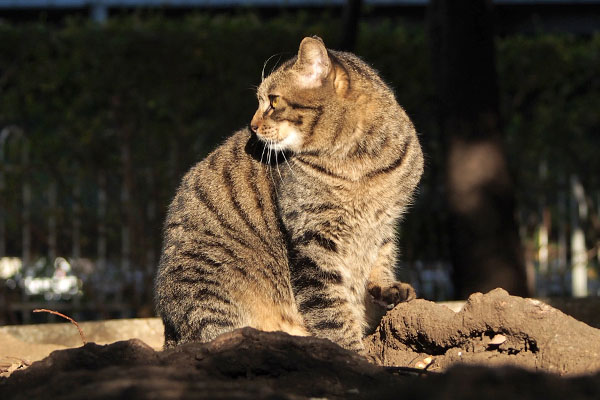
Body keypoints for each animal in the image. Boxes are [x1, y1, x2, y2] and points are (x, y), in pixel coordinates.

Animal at [156, 36, 426, 352]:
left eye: (272, 101)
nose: (252, 126)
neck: (358, 162)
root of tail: (168, 335)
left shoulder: (385, 221)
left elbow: (381, 257)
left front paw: (385, 286)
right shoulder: (312, 238)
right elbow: (331, 311)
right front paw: (353, 355)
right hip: (206, 285)